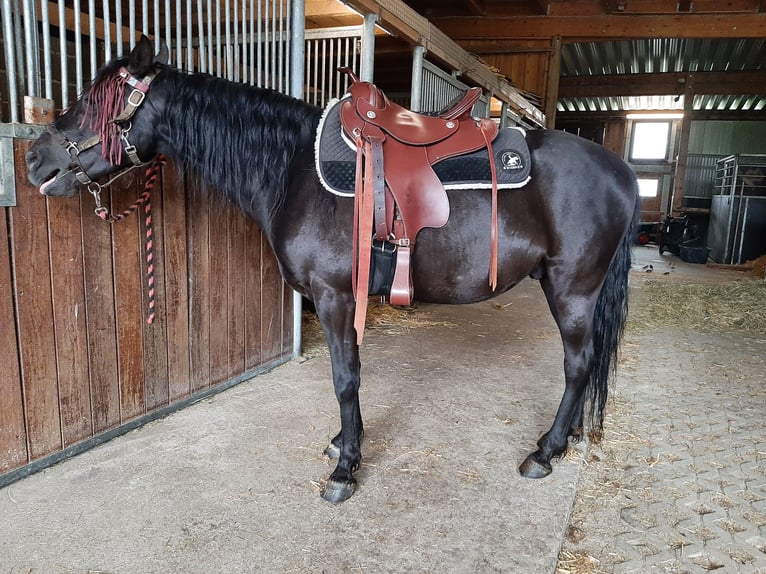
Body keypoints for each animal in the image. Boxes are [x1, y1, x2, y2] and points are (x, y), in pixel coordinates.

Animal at [26, 37, 639, 504]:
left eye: (93, 101)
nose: (34, 159)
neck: (291, 168)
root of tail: (621, 171)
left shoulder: (334, 297)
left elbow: (345, 379)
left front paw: (344, 471)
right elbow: (351, 378)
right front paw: (347, 446)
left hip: (572, 290)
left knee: (577, 365)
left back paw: (545, 450)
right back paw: (566, 436)